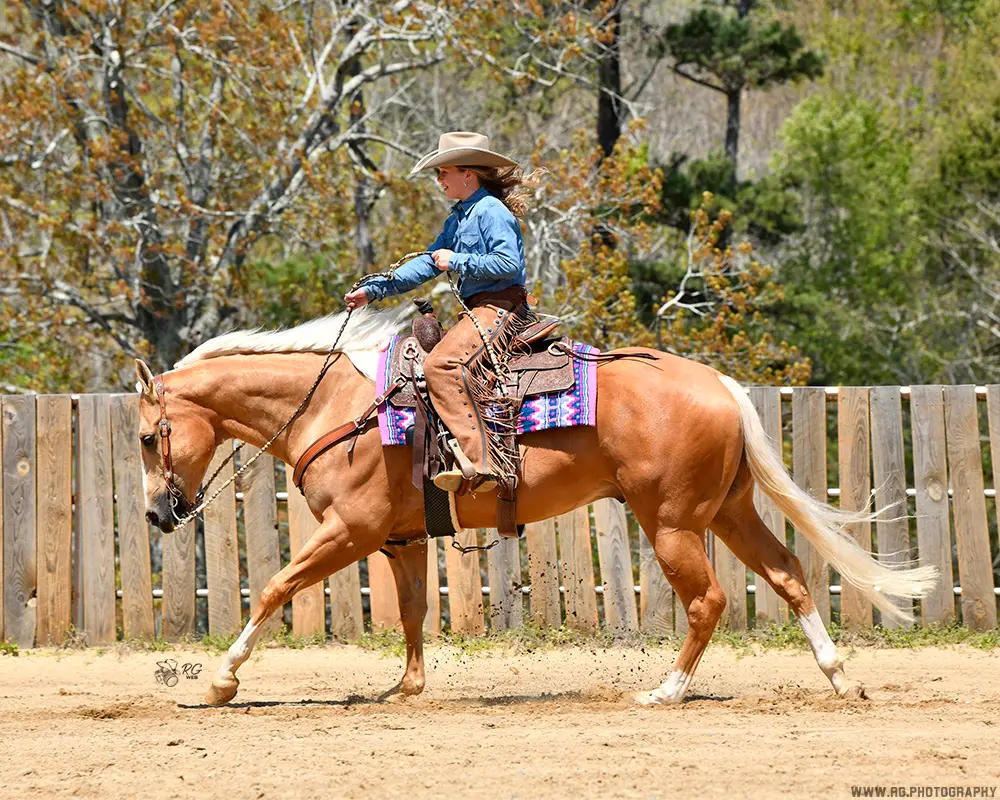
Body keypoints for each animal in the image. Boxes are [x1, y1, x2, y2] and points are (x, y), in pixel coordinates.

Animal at [133, 306, 936, 707]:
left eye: (147, 436)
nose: (157, 516)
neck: (338, 405)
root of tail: (719, 384)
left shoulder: (350, 531)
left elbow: (272, 589)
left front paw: (222, 680)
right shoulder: (399, 540)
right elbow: (415, 611)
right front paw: (406, 687)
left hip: (672, 521)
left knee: (708, 600)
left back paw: (666, 692)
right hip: (728, 512)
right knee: (790, 574)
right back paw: (840, 678)